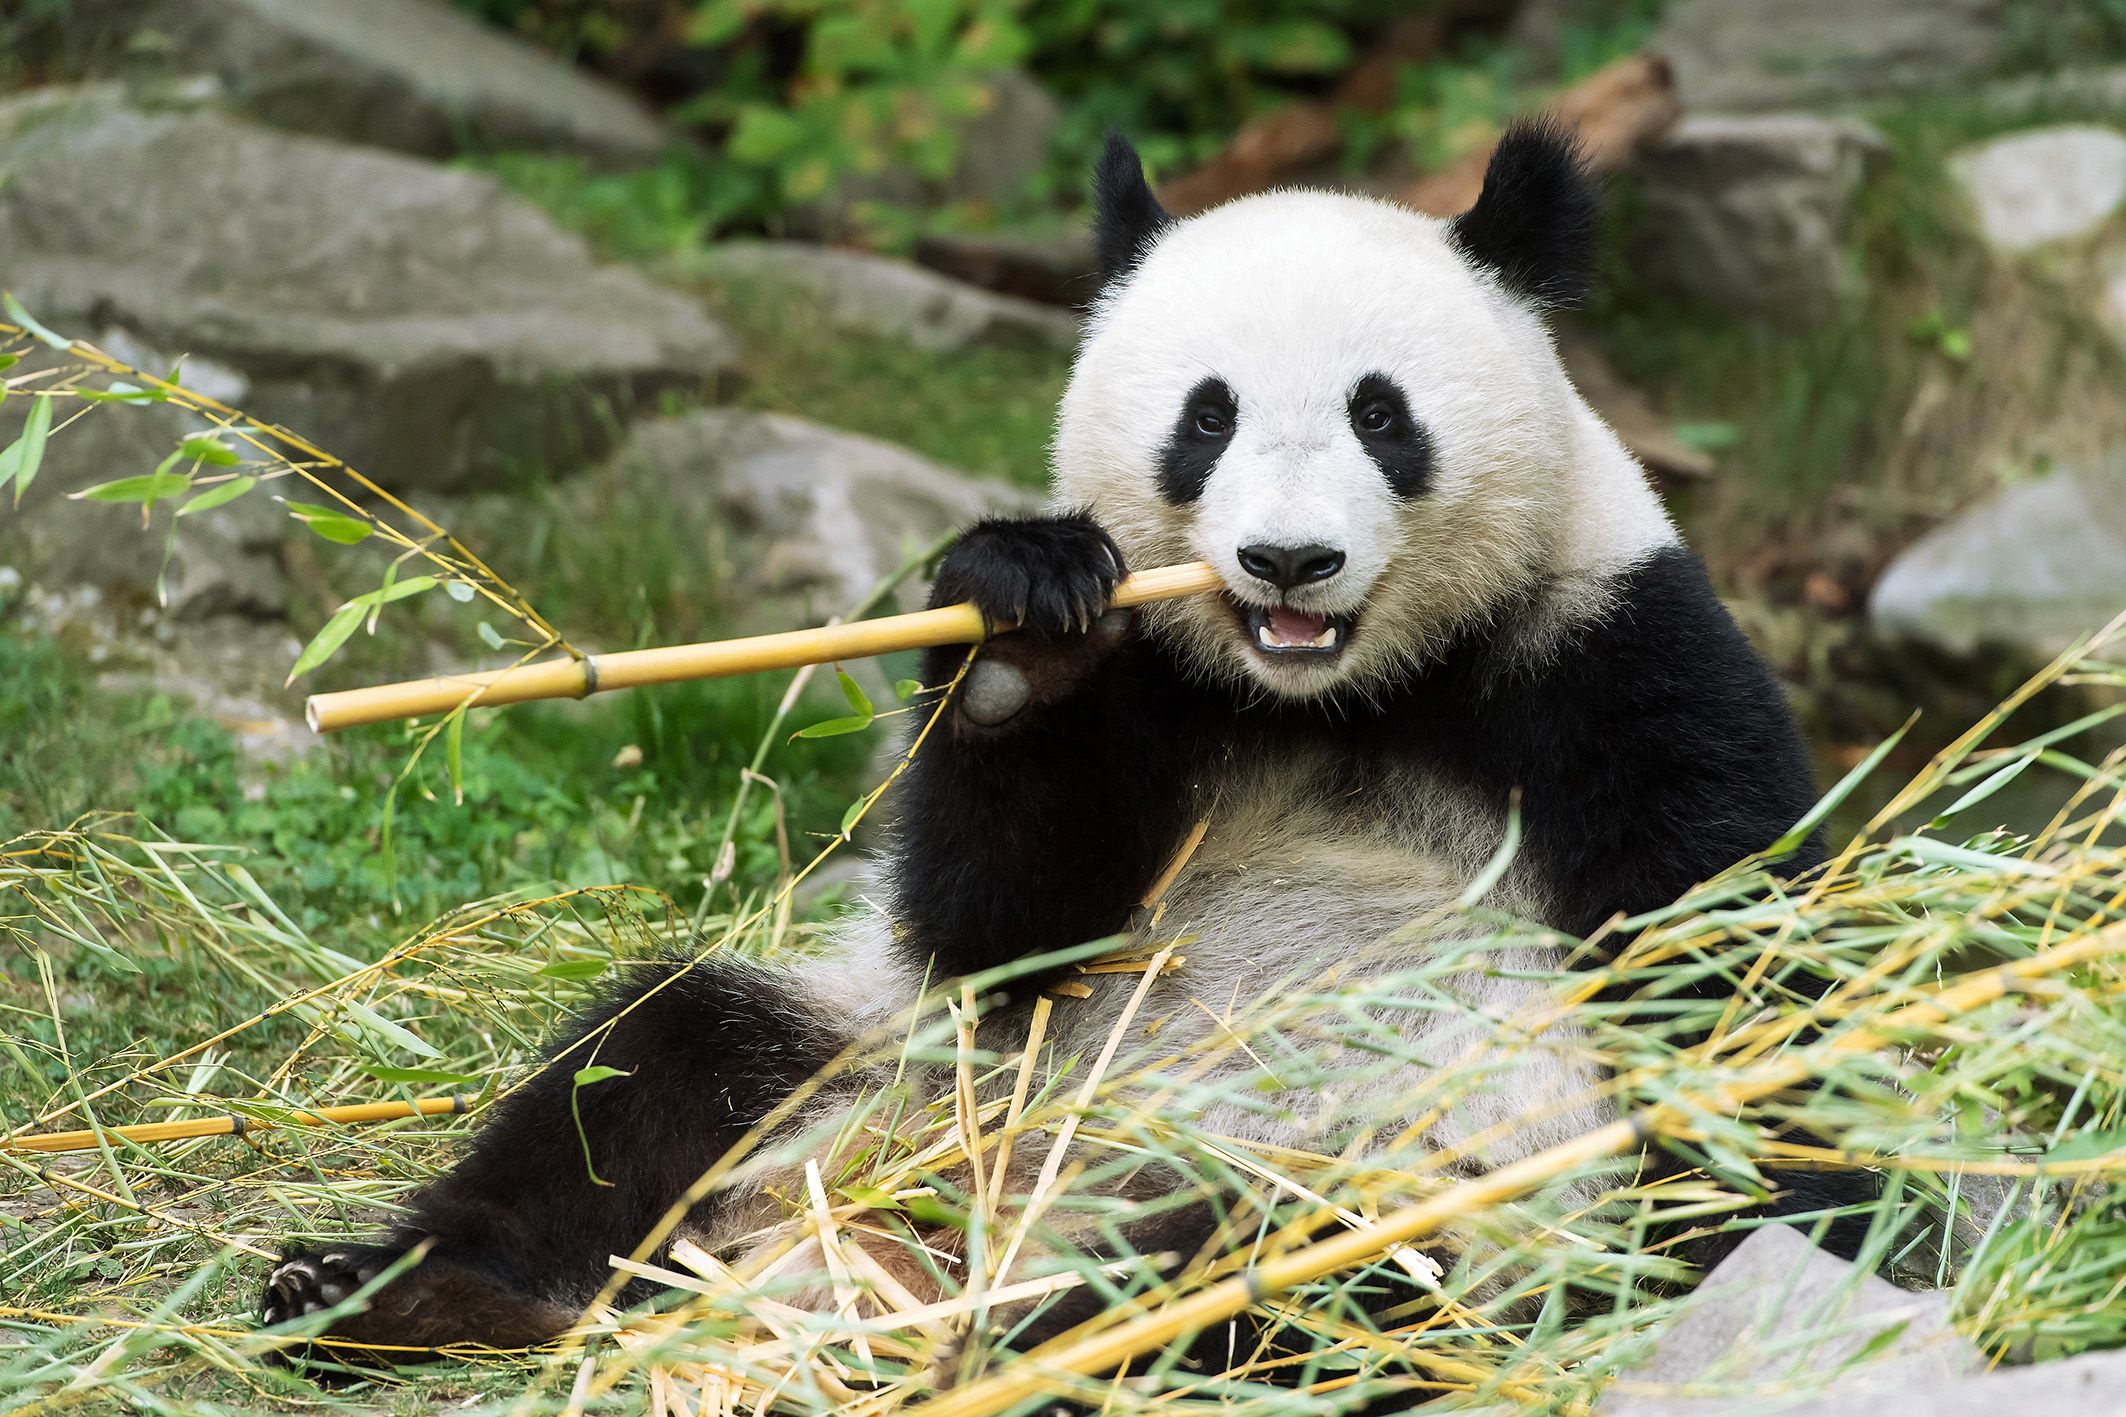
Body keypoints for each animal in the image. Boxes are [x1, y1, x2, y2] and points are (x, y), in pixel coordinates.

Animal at [258, 122, 1872, 1388]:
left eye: (1380, 411)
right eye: (1206, 415)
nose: (1288, 561)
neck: (1335, 695)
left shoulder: (1608, 655)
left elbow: (1738, 971)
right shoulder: (1151, 701)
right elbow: (1002, 927)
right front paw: (1025, 630)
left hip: (1394, 1188)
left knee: (1278, 1286)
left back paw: (1030, 1342)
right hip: (888, 1063)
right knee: (655, 1062)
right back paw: (405, 1293)